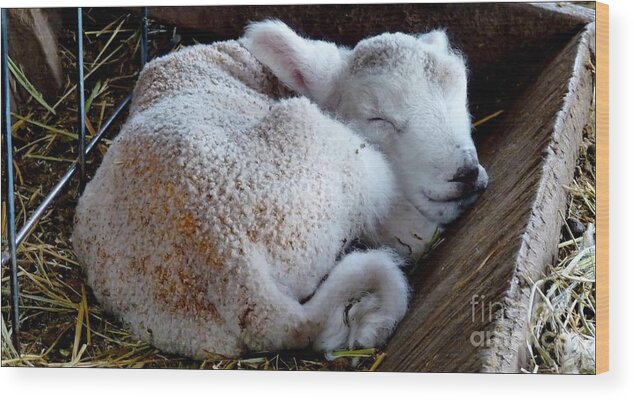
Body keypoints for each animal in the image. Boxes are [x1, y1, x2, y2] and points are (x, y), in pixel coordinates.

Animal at [71, 20, 486, 358]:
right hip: (348, 166)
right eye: (377, 117)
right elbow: (413, 233)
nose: (466, 173)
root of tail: (226, 257)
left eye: (462, 93)